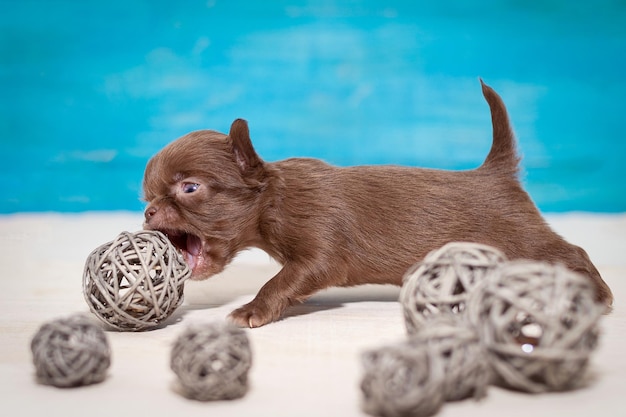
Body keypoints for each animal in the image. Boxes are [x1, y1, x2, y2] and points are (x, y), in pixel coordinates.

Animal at [140, 79, 608, 326]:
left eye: (189, 188)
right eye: (148, 196)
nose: (147, 211)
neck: (273, 198)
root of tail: (496, 170)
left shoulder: (321, 253)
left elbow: (280, 280)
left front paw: (254, 308)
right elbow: (288, 280)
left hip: (523, 237)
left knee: (572, 251)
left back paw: (599, 295)